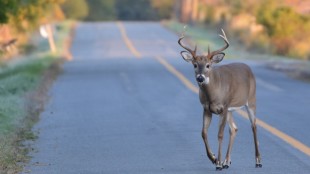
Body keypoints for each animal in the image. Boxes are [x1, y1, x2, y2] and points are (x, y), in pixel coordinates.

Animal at [179, 28, 262, 170]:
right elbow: (203, 133)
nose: (200, 78)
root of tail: (248, 68)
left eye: (208, 65)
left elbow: (220, 134)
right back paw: (227, 161)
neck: (212, 95)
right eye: (195, 65)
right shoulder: (207, 108)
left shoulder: (223, 106)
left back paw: (257, 161)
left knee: (254, 126)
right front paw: (214, 158)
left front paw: (218, 163)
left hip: (251, 101)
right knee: (234, 129)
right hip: (230, 110)